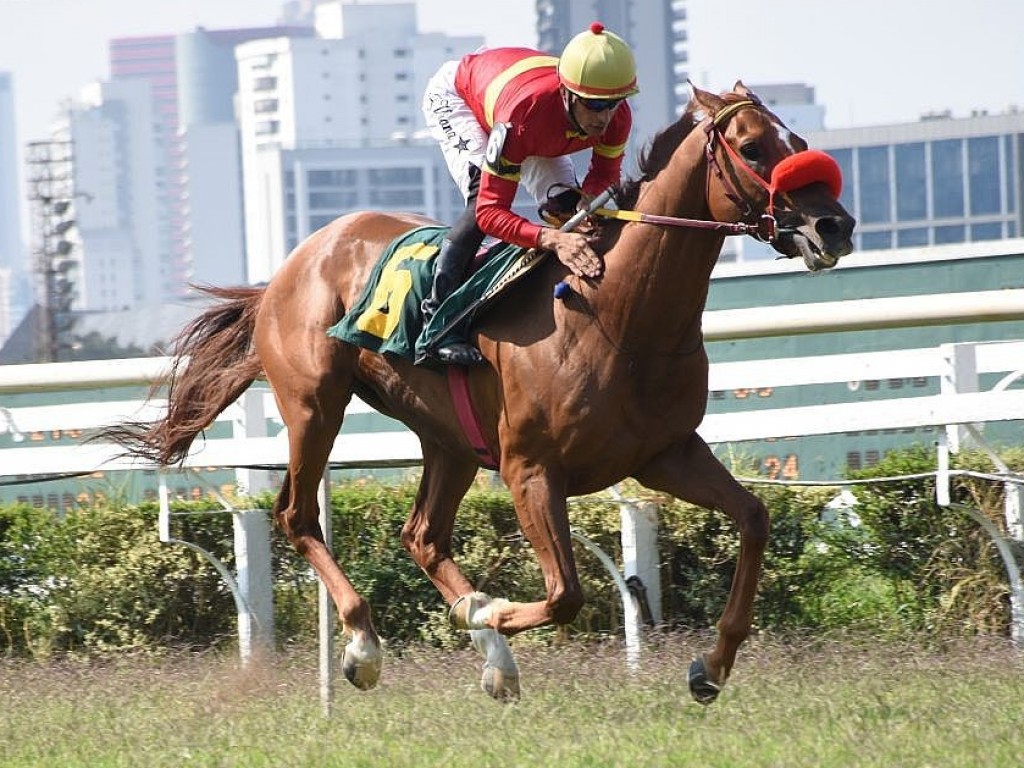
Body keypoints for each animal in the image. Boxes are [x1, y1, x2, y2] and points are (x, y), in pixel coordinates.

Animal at [103, 83, 856, 704]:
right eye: (754, 147)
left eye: (795, 140)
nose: (836, 226)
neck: (618, 314)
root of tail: (289, 266)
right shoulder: (531, 469)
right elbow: (566, 594)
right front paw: (488, 614)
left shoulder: (663, 453)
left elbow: (754, 518)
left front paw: (711, 667)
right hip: (316, 404)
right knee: (297, 513)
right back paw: (366, 644)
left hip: (450, 439)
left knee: (421, 535)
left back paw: (489, 654)